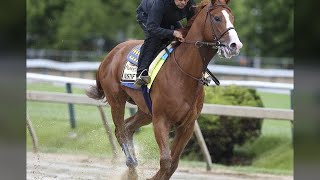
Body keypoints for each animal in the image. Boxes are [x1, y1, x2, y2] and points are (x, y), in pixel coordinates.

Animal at [86, 0, 241, 179]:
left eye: (232, 18)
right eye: (217, 18)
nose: (235, 45)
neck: (184, 73)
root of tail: (110, 54)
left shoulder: (187, 125)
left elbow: (173, 164)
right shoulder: (161, 120)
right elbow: (166, 161)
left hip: (145, 111)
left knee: (128, 127)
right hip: (117, 101)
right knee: (120, 130)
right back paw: (131, 164)